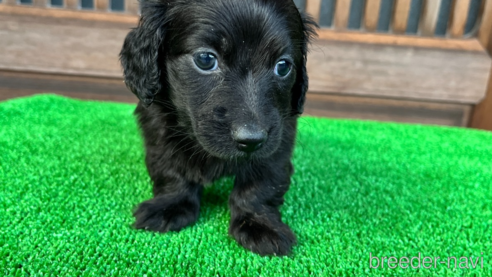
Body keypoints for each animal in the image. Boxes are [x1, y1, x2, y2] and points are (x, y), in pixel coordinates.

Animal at [119, 0, 316, 256]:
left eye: (283, 66)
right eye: (205, 59)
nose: (251, 139)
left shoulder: (279, 140)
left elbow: (261, 185)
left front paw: (259, 225)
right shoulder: (158, 128)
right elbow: (170, 169)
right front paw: (170, 206)